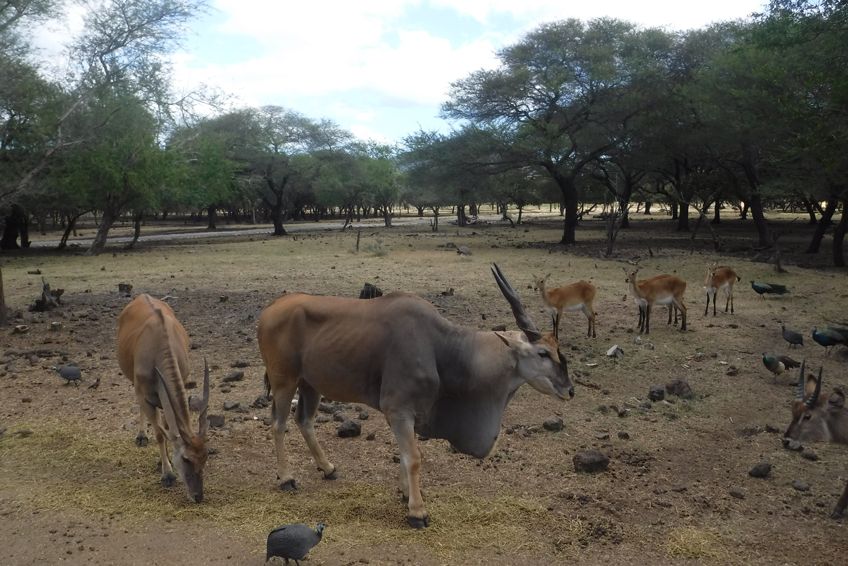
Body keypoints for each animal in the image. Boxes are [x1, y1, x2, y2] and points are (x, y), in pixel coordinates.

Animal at [117, 296, 210, 504]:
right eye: (186, 459)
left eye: (205, 457)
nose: (198, 496)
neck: (158, 345)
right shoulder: (144, 394)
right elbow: (160, 433)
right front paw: (167, 474)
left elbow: (167, 427)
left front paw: (163, 461)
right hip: (137, 386)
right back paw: (141, 436)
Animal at [256, 264, 576, 532]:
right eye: (543, 353)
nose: (569, 389)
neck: (441, 347)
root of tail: (270, 309)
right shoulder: (398, 410)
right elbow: (413, 458)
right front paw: (417, 512)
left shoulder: (403, 415)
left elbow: (403, 454)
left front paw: (404, 493)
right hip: (285, 382)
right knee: (278, 425)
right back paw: (287, 478)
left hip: (311, 384)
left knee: (304, 421)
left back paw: (328, 468)